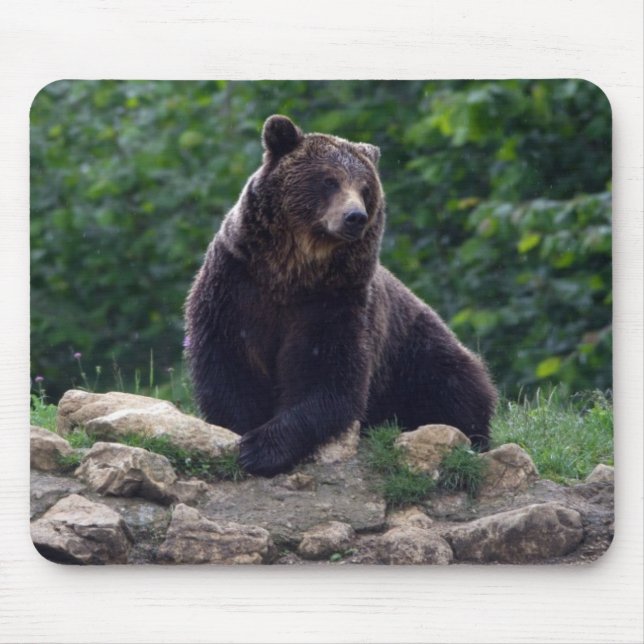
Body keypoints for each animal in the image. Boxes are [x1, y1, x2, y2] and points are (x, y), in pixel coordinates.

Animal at [185, 114, 497, 477]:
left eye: (365, 188)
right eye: (329, 180)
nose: (355, 217)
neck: (290, 272)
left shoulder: (334, 302)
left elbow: (330, 377)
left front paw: (261, 448)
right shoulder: (235, 287)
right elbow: (228, 365)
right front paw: (242, 432)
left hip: (417, 353)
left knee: (457, 387)